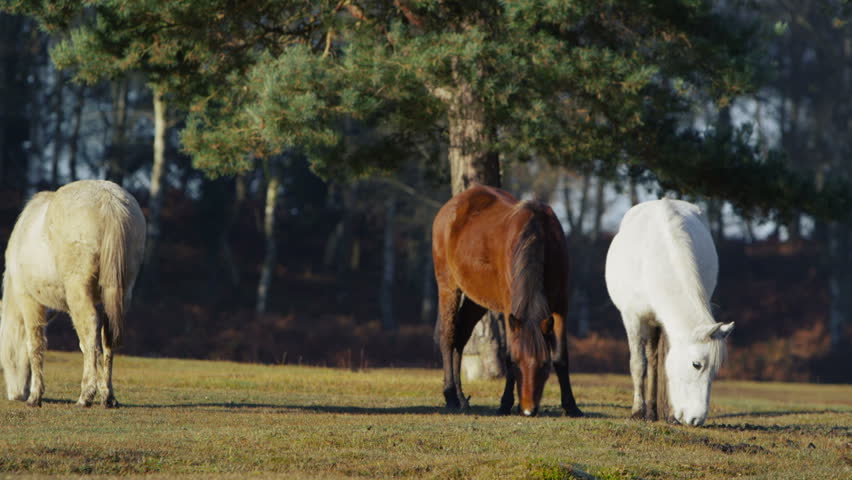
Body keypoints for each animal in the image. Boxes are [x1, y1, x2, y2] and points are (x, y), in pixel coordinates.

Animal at [0, 180, 146, 408]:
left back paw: (85, 396)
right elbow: (91, 347)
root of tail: (110, 204)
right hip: (120, 291)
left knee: (90, 326)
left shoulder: (29, 300)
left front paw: (35, 396)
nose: (15, 395)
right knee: (105, 335)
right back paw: (108, 397)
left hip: (79, 289)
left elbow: (35, 345)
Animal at [432, 184, 583, 417]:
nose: (528, 410)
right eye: (518, 364)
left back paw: (461, 399)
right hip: (448, 287)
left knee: (460, 337)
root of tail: (450, 207)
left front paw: (571, 406)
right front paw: (504, 403)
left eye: (544, 365)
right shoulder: (509, 309)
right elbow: (509, 354)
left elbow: (561, 357)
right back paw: (450, 396)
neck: (539, 237)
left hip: (476, 300)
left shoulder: (560, 307)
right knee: (448, 337)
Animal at [605, 198, 733, 426]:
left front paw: (671, 415)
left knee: (655, 361)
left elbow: (663, 366)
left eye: (715, 369)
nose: (696, 419)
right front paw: (637, 411)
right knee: (649, 361)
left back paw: (653, 411)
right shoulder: (633, 318)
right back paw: (647, 412)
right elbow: (638, 364)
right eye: (696, 364)